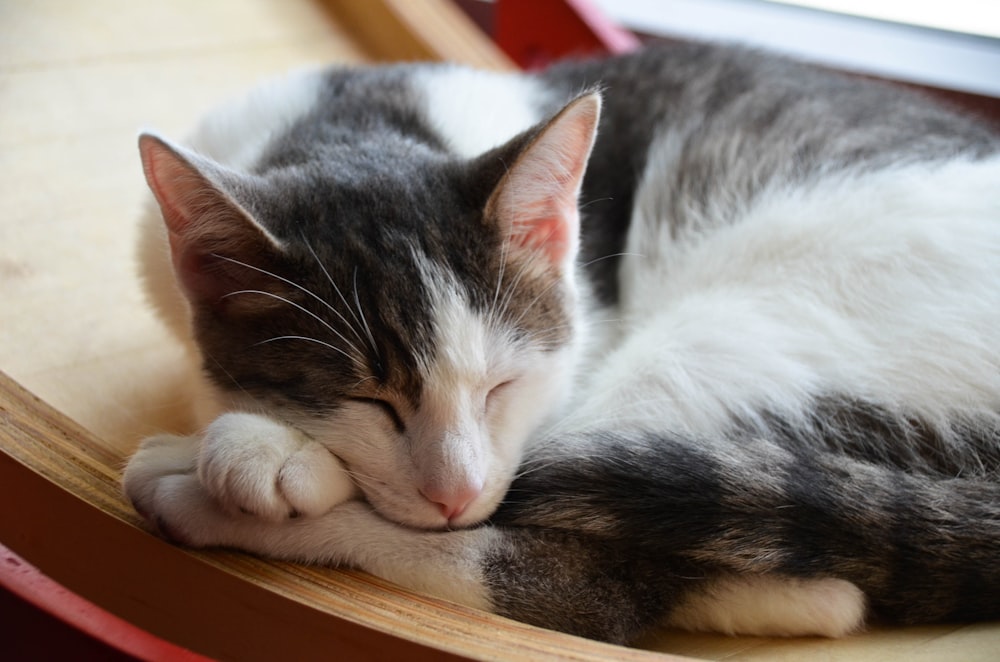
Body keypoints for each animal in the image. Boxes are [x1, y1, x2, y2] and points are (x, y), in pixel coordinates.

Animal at [123, 40, 1000, 644]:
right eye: (368, 401)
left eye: (502, 385)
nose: (456, 492)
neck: (365, 121)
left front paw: (268, 451)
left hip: (751, 327)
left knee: (590, 578)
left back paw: (189, 489)